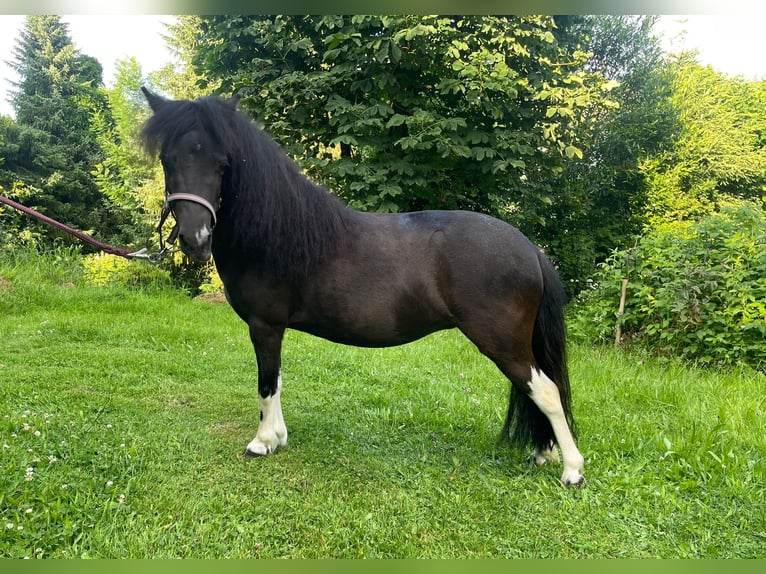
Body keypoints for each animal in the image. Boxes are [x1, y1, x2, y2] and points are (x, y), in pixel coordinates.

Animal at [139, 88, 585, 487]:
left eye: (221, 163)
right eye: (168, 160)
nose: (194, 238)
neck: (276, 234)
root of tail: (529, 247)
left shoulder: (264, 326)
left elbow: (266, 383)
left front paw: (262, 442)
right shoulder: (273, 329)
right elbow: (277, 380)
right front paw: (278, 437)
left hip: (504, 343)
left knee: (546, 392)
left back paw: (572, 471)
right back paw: (543, 454)